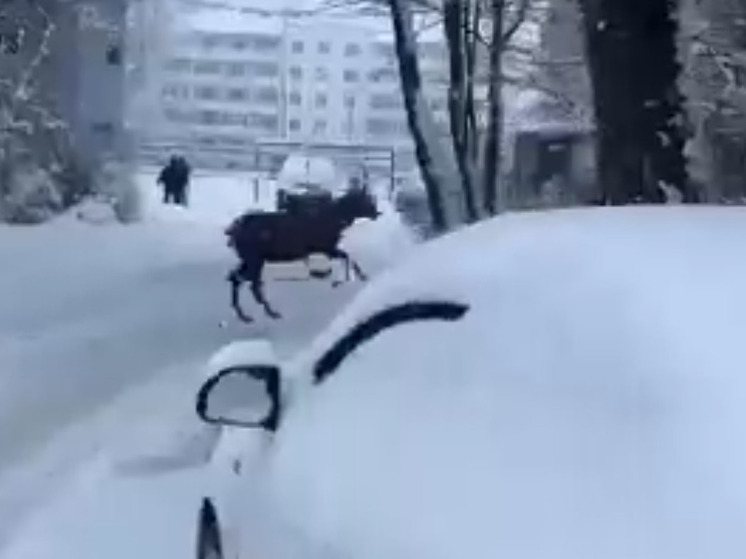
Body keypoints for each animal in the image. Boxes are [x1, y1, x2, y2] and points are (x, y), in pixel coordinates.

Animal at [222, 187, 378, 324]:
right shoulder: (325, 248)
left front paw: (358, 276)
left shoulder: (323, 250)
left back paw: (244, 315)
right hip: (255, 259)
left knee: (235, 277)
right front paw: (344, 280)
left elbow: (345, 258)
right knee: (250, 284)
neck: (338, 218)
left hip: (250, 259)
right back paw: (271, 312)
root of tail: (232, 232)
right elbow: (347, 256)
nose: (377, 213)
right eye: (366, 200)